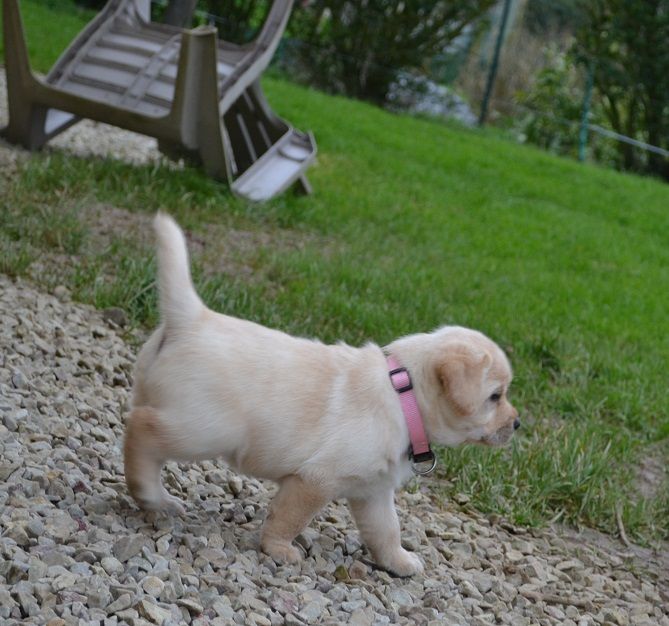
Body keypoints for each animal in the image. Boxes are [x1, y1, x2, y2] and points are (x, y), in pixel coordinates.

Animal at [124, 213, 519, 576]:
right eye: (496, 396)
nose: (517, 424)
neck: (403, 394)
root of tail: (192, 319)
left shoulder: (373, 492)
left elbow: (386, 530)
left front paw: (399, 561)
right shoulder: (316, 479)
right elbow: (289, 517)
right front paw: (279, 549)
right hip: (204, 428)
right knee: (142, 429)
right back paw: (149, 493)